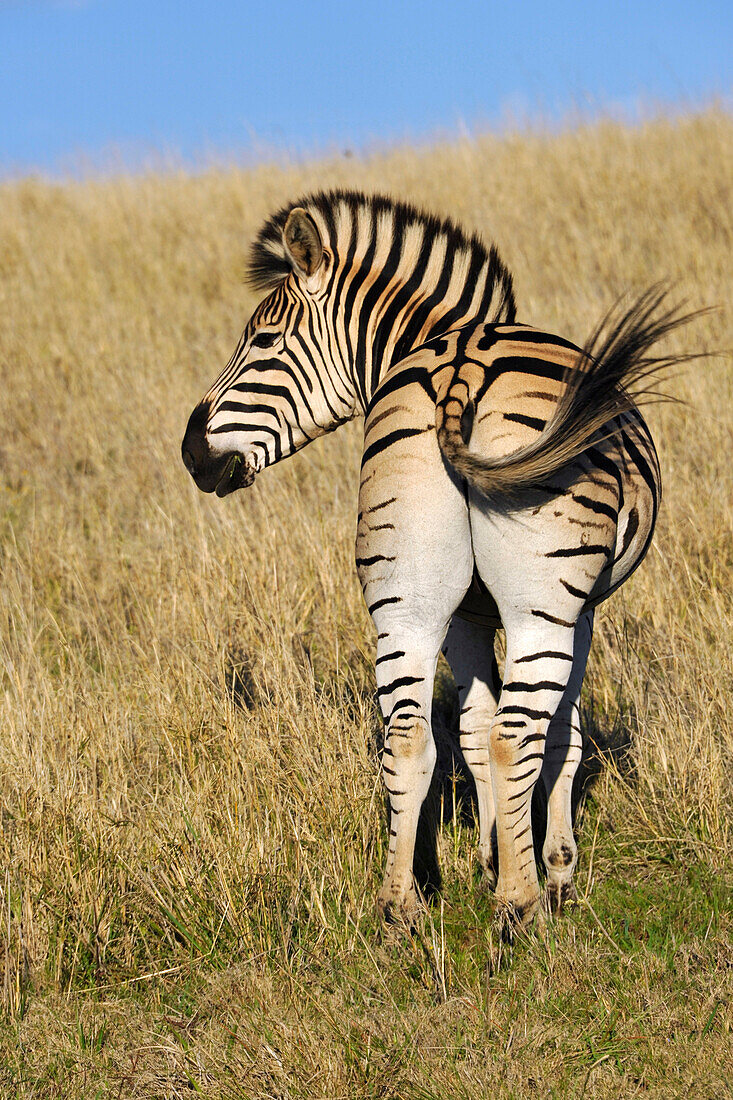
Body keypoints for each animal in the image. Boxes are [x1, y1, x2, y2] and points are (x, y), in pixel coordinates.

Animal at [179, 189, 686, 928]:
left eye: (262, 341)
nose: (191, 452)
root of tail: (461, 365)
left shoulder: (465, 618)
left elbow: (470, 731)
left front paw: (489, 853)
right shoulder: (581, 609)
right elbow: (557, 734)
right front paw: (551, 867)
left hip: (405, 596)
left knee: (407, 737)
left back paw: (399, 905)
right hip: (539, 604)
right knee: (515, 735)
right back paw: (520, 905)